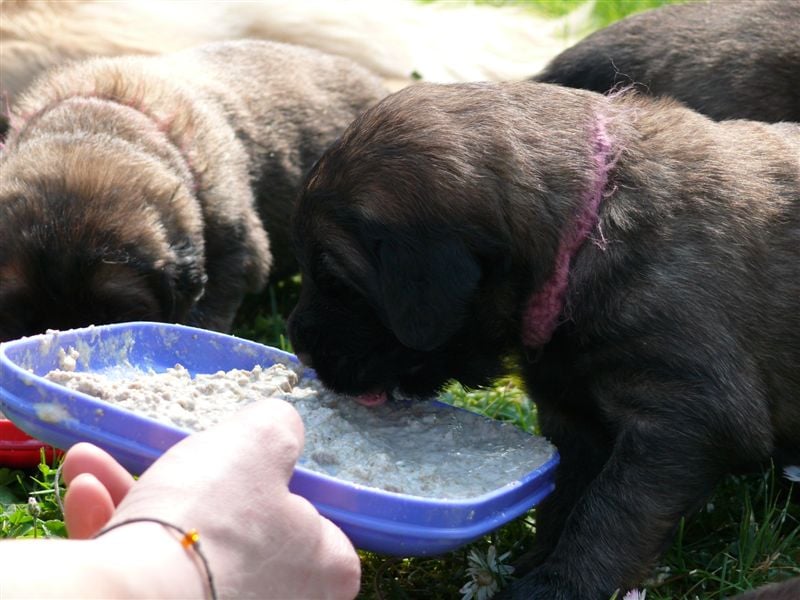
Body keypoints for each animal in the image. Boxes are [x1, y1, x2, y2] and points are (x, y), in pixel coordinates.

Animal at [288, 82, 800, 596]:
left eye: (334, 280)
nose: (299, 346)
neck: (586, 233)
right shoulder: (573, 416)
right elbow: (567, 499)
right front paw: (534, 563)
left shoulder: (684, 416)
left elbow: (612, 511)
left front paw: (560, 583)